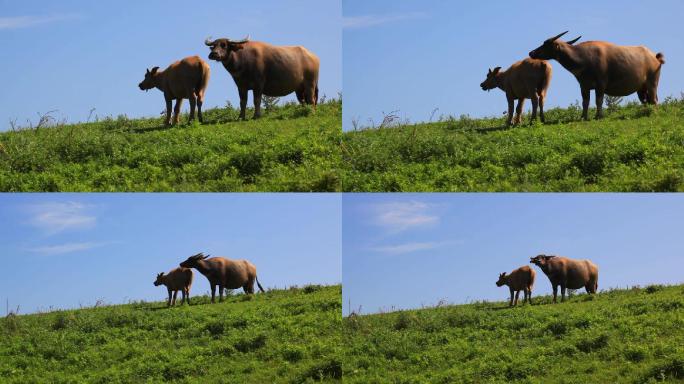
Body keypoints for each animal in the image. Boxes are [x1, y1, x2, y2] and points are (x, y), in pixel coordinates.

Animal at [528, 31, 664, 120]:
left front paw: (598, 116)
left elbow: (598, 100)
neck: (583, 58)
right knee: (646, 101)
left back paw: (654, 114)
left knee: (654, 100)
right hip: (641, 88)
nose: (531, 52)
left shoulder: (600, 84)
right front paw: (583, 117)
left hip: (652, 83)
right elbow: (585, 102)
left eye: (546, 44)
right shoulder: (583, 86)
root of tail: (655, 57)